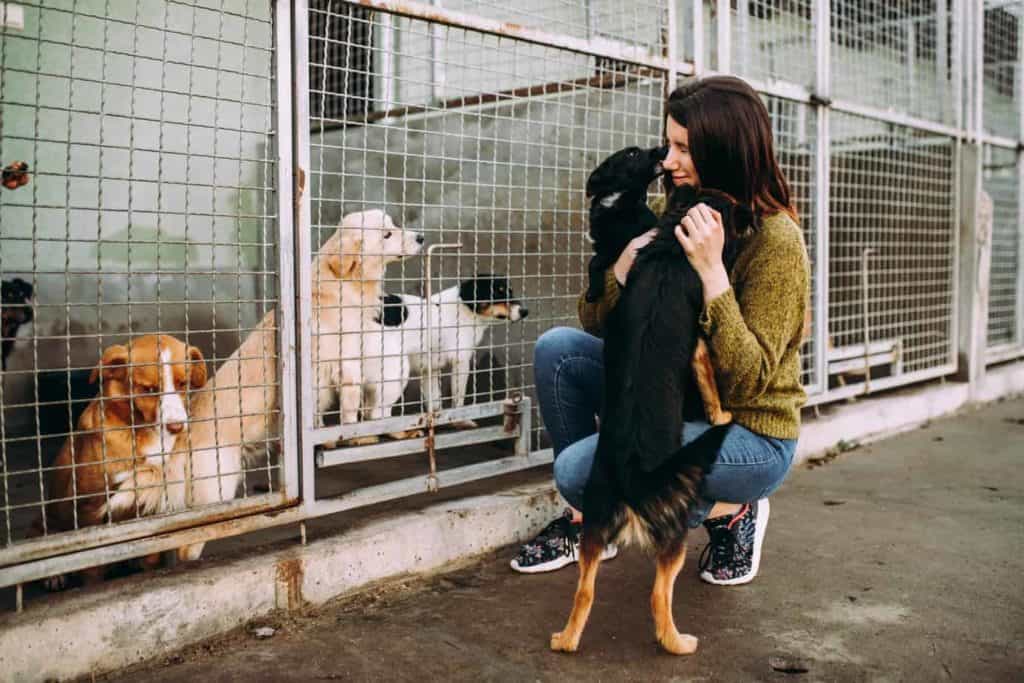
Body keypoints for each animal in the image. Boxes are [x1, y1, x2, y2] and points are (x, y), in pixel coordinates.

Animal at [43, 333, 205, 585]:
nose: (177, 427)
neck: (142, 432)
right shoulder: (90, 508)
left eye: (183, 384)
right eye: (149, 389)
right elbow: (92, 569)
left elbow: (151, 555)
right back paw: (55, 575)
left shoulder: (152, 497)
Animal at [174, 209, 421, 561]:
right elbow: (351, 412)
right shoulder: (346, 365)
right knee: (188, 546)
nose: (422, 237)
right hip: (216, 489)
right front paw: (357, 438)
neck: (343, 284)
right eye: (386, 234)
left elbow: (320, 417)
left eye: (395, 225)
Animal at [364, 274, 528, 430]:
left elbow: (435, 401)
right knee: (378, 414)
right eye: (497, 292)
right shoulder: (461, 362)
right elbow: (458, 399)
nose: (525, 311)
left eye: (511, 291)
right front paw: (460, 421)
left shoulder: (429, 370)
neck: (465, 310)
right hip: (397, 371)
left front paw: (435, 421)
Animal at [589, 144, 667, 301]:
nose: (663, 148)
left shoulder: (615, 246)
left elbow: (594, 262)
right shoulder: (603, 244)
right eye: (631, 153)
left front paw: (593, 291)